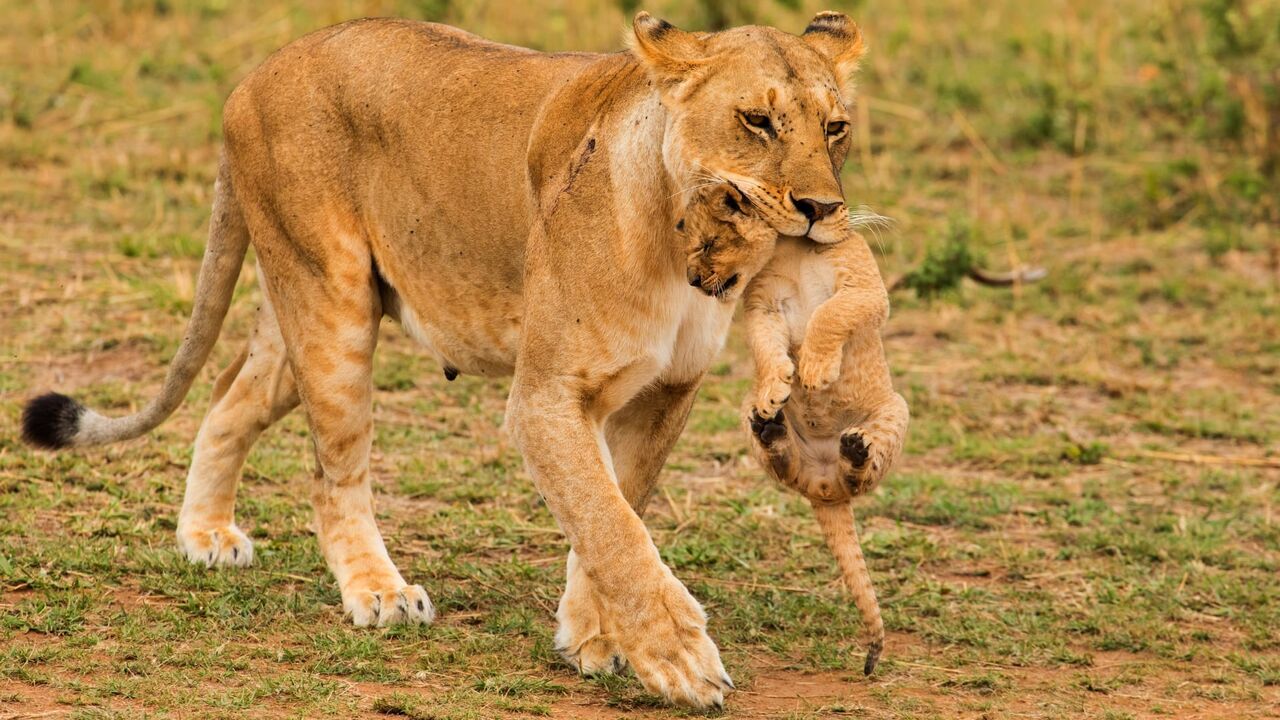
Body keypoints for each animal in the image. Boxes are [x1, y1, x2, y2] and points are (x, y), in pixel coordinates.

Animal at [21, 12, 867, 708]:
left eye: (836, 128)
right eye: (756, 120)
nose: (823, 210)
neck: (672, 235)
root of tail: (255, 74)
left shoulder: (665, 390)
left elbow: (614, 506)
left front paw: (593, 638)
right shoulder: (546, 393)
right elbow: (613, 527)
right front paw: (679, 660)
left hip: (302, 314)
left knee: (230, 399)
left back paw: (205, 535)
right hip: (333, 309)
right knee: (333, 476)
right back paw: (380, 594)